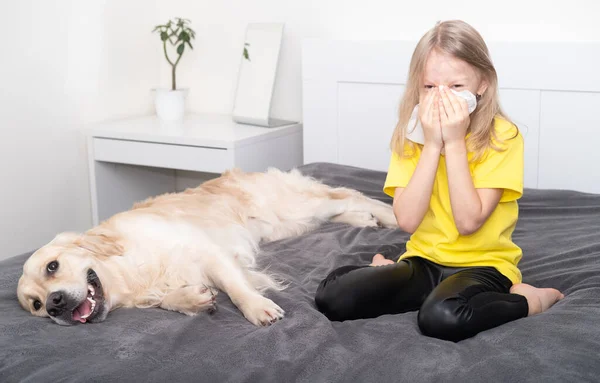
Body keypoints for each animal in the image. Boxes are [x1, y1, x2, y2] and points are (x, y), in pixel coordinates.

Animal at [16, 168, 396, 328]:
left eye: (52, 266)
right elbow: (167, 300)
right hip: (287, 224)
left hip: (296, 208)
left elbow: (236, 288)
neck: (128, 273)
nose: (54, 304)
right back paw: (366, 221)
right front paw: (192, 299)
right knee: (342, 207)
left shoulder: (209, 252)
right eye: (36, 305)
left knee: (351, 195)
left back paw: (390, 215)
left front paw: (258, 308)